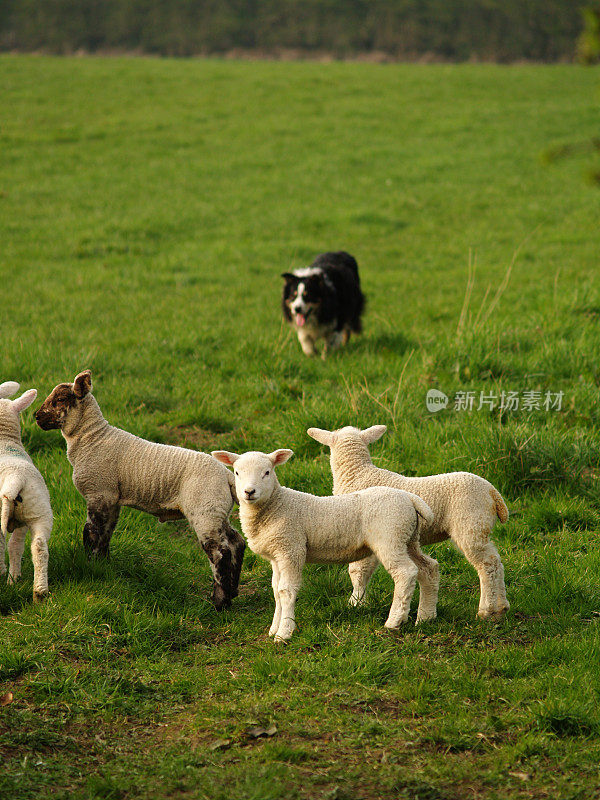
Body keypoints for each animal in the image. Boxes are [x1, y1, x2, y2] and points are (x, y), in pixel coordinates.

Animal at [34, 372, 244, 608]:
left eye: (60, 399)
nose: (36, 416)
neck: (91, 438)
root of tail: (227, 475)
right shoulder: (111, 498)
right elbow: (106, 534)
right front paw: (103, 565)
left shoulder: (98, 492)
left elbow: (91, 533)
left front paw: (90, 565)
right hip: (217, 509)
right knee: (237, 543)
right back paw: (232, 591)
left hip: (204, 509)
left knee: (220, 553)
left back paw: (220, 602)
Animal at [211, 446, 436, 640]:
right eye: (237, 472)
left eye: (267, 472)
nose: (249, 492)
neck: (276, 506)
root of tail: (409, 498)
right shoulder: (276, 555)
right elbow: (276, 591)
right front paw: (274, 628)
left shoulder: (291, 548)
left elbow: (286, 591)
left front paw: (284, 633)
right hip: (408, 538)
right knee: (428, 568)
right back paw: (426, 617)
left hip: (390, 537)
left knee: (406, 573)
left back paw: (395, 621)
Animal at [310, 424, 510, 620]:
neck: (357, 474)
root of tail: (493, 493)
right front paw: (359, 602)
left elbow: (358, 570)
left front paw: (356, 603)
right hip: (479, 526)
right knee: (496, 561)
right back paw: (501, 607)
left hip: (470, 524)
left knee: (487, 564)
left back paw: (486, 610)